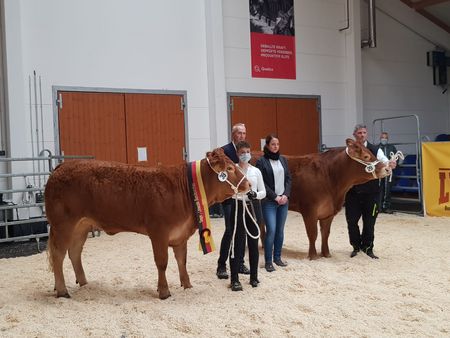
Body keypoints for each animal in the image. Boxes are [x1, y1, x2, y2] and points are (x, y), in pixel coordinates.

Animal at [45, 148, 250, 298]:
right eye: (229, 169)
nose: (248, 184)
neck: (184, 188)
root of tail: (62, 165)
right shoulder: (159, 232)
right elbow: (162, 262)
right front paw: (164, 291)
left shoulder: (180, 234)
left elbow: (181, 261)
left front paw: (187, 285)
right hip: (63, 225)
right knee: (58, 255)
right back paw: (62, 290)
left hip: (82, 226)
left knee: (74, 252)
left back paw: (84, 283)